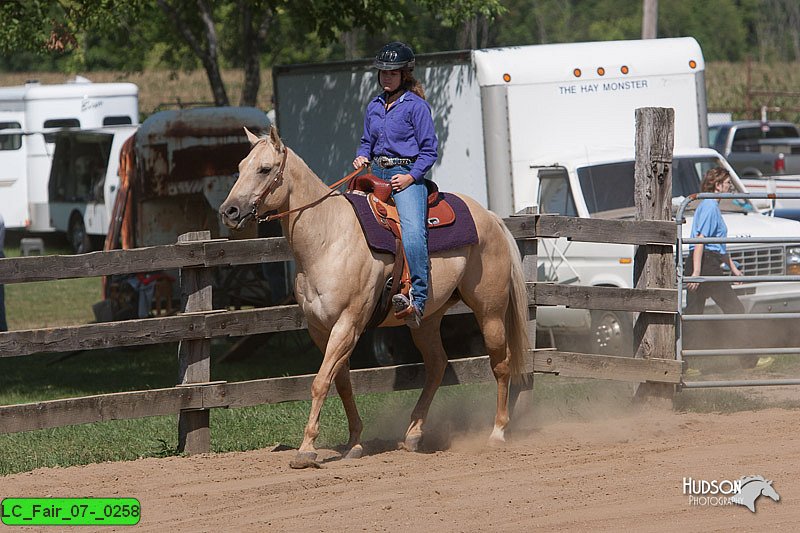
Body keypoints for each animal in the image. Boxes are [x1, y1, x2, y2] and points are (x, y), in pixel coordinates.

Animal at [219, 127, 532, 468]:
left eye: (264, 169)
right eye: (240, 167)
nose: (228, 211)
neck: (328, 239)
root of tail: (489, 216)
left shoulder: (348, 324)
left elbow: (320, 382)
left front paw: (306, 450)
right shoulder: (320, 329)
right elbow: (341, 383)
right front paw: (354, 442)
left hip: (490, 311)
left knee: (501, 364)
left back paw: (497, 433)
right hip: (426, 320)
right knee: (437, 365)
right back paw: (413, 434)